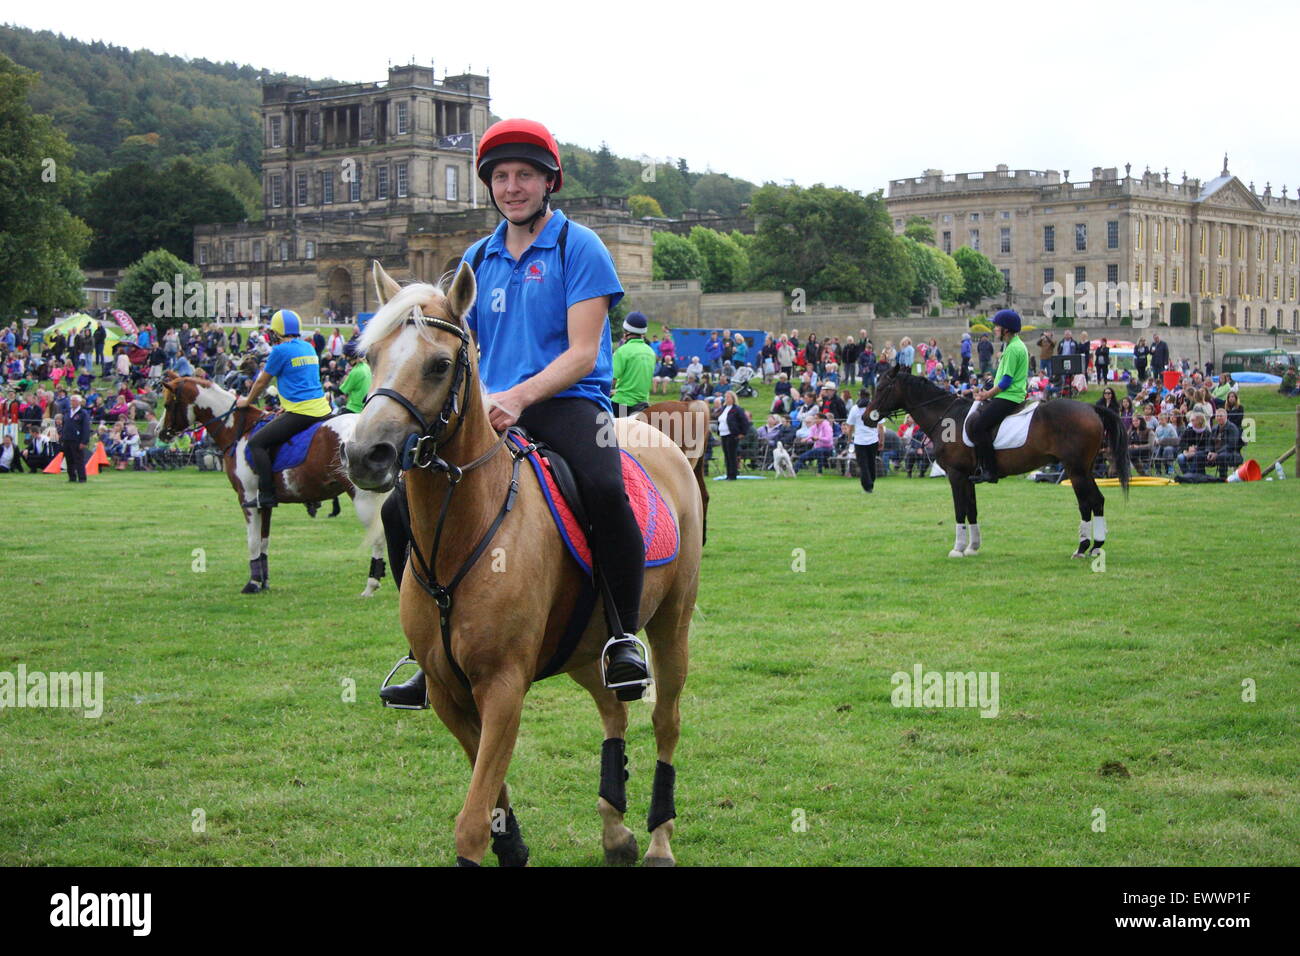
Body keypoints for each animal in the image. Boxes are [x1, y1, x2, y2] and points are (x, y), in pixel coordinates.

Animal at [160, 371, 387, 590]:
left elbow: (252, 541)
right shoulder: (264, 503)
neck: (238, 431)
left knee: (377, 536)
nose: (160, 432)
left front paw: (253, 583)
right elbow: (263, 542)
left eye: (167, 405)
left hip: (363, 497)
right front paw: (264, 581)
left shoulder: (247, 498)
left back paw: (372, 584)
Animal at [343, 260, 702, 868]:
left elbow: (470, 824)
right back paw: (615, 826)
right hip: (586, 644)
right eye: (370, 355)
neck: (464, 530)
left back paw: (658, 837)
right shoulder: (448, 691)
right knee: (613, 709)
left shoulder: (503, 688)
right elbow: (489, 798)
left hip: (672, 624)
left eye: (439, 365)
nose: (366, 454)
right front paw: (512, 842)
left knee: (666, 720)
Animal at [863, 366, 1128, 561]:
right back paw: (1095, 547)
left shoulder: (956, 475)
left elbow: (960, 510)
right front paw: (973, 547)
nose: (866, 417)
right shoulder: (969, 477)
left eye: (881, 387)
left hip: (1076, 470)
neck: (947, 416)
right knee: (1096, 501)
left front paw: (957, 549)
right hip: (1085, 469)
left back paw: (1083, 548)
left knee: (1087, 503)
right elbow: (972, 510)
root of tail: (1090, 408)